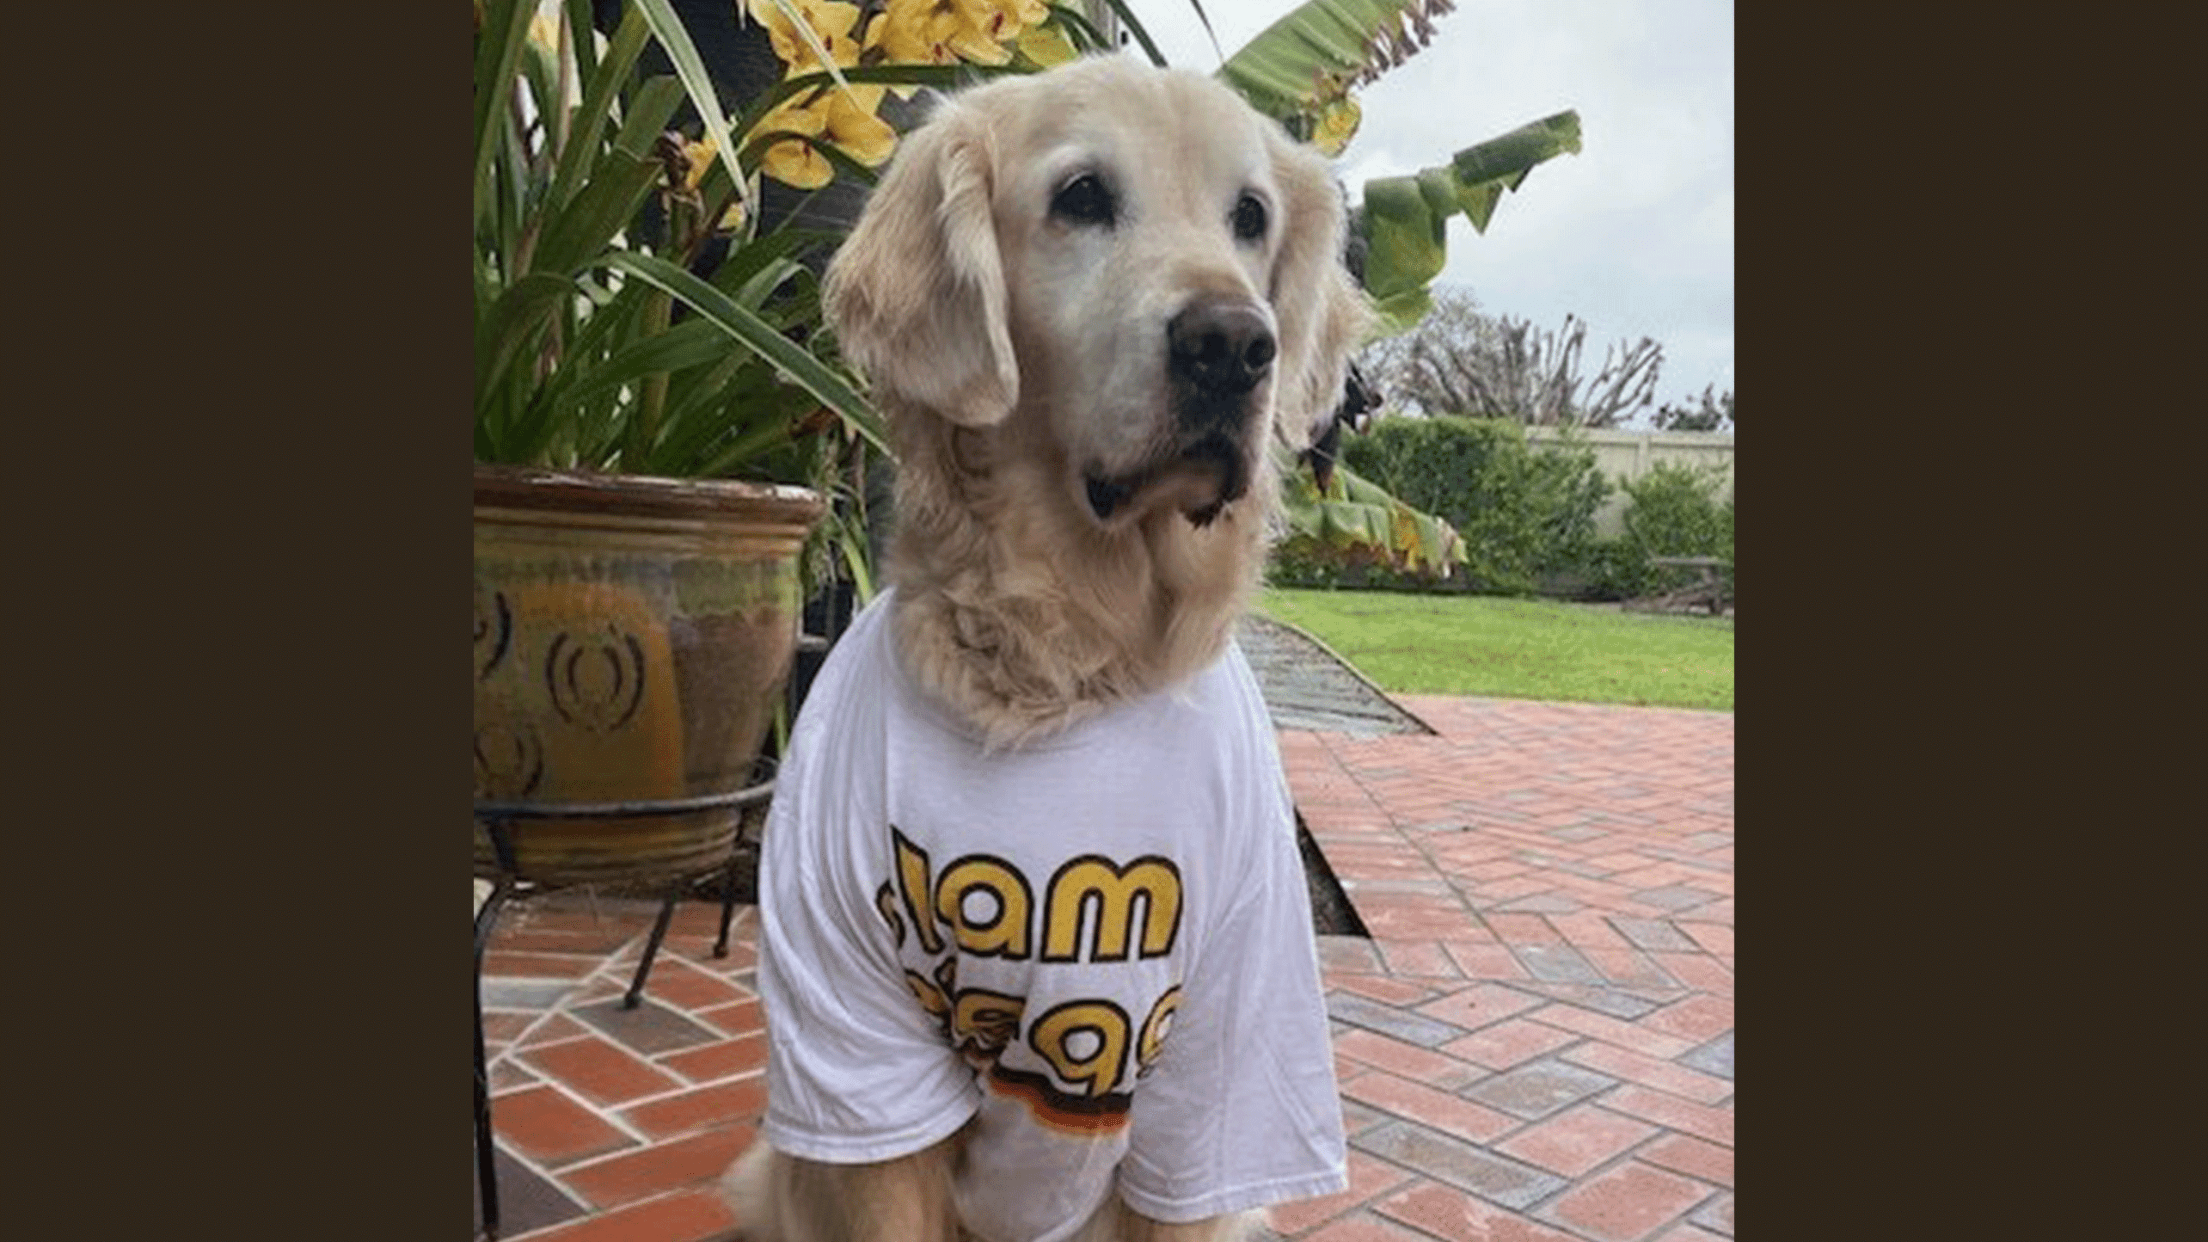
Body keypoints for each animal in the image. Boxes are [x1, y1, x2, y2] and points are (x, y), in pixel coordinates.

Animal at [728, 55, 1360, 1237]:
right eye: (1082, 197)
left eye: (1250, 216)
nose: (1235, 344)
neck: (1070, 661)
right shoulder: (859, 1059)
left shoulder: (1219, 1071)